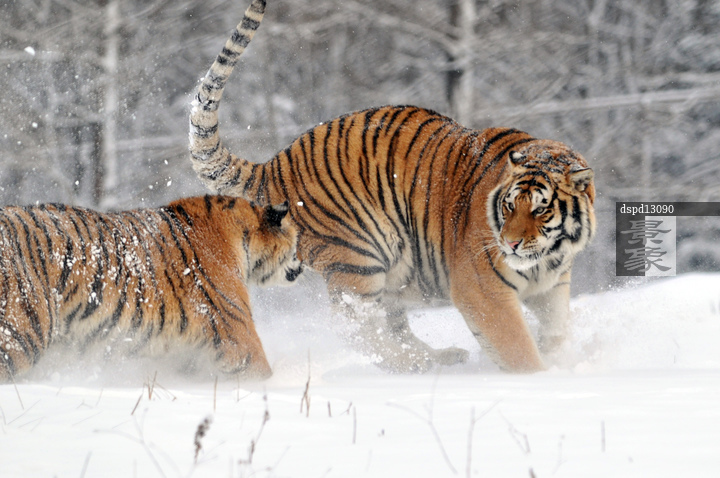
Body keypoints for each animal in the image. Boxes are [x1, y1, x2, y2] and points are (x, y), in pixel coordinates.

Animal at [189, 0, 596, 373]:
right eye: (510, 206)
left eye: (540, 208)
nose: (509, 244)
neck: (548, 258)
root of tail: (275, 163)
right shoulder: (483, 291)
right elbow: (517, 347)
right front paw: (540, 378)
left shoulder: (552, 287)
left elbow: (557, 329)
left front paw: (560, 358)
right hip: (361, 254)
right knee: (357, 326)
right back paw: (414, 364)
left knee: (390, 325)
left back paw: (438, 358)